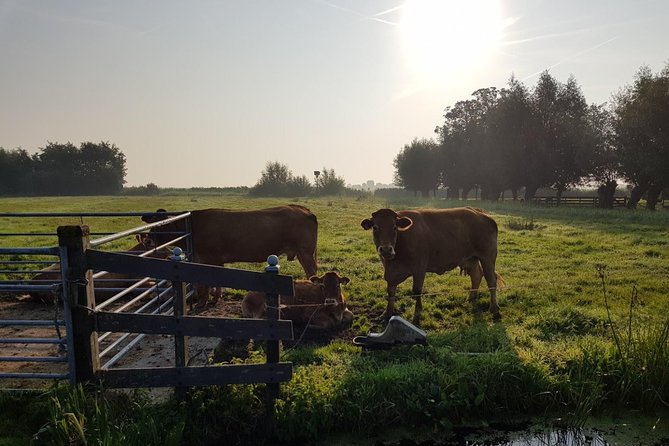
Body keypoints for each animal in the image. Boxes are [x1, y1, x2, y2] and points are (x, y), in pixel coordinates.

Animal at [142, 205, 318, 306]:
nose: (148, 240)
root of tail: (305, 210)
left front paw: (203, 301)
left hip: (305, 252)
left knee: (312, 272)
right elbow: (217, 281)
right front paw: (215, 298)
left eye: (161, 225)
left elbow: (206, 284)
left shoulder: (207, 259)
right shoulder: (216, 260)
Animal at [360, 206, 500, 324]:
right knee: (476, 276)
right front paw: (386, 314)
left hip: (487, 257)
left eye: (394, 227)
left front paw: (417, 314)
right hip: (471, 259)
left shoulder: (419, 268)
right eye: (375, 227)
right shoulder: (390, 273)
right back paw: (471, 298)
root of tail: (481, 213)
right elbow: (390, 292)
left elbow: (416, 291)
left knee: (491, 280)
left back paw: (494, 308)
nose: (386, 249)